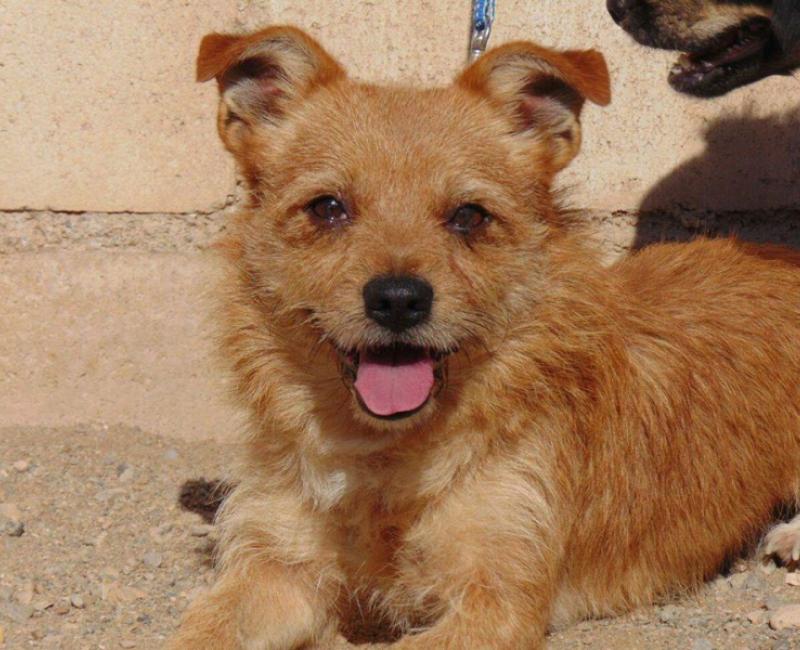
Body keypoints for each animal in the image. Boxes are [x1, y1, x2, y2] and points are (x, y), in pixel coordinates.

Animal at [169, 25, 800, 649]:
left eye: (469, 216)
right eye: (327, 208)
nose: (398, 299)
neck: (385, 459)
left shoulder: (496, 598)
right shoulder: (274, 567)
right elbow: (201, 630)